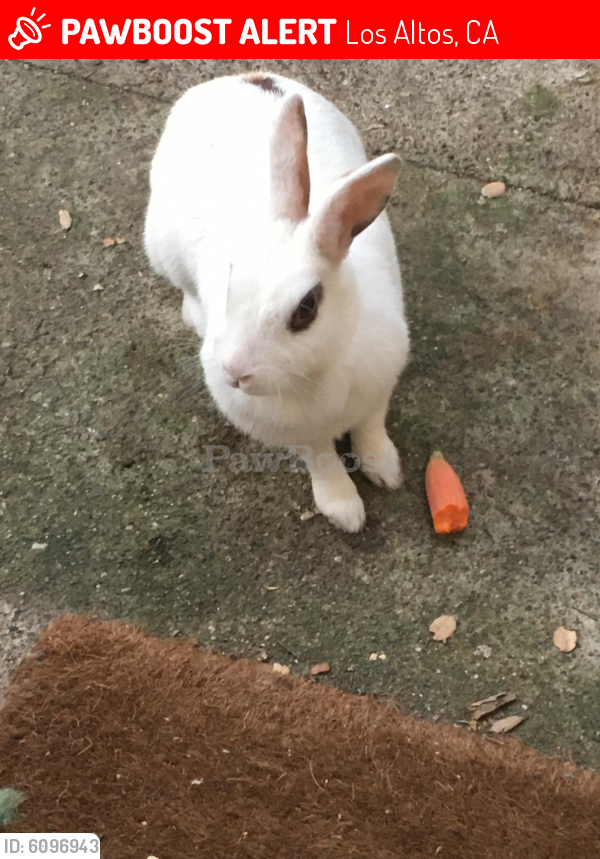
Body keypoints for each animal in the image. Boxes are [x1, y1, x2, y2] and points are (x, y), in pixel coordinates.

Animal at [144, 72, 410, 533]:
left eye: (306, 309)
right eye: (230, 284)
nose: (235, 373)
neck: (317, 373)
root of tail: (233, 79)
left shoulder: (379, 391)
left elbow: (371, 430)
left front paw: (386, 471)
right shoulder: (301, 436)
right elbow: (323, 462)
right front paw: (346, 513)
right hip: (161, 248)